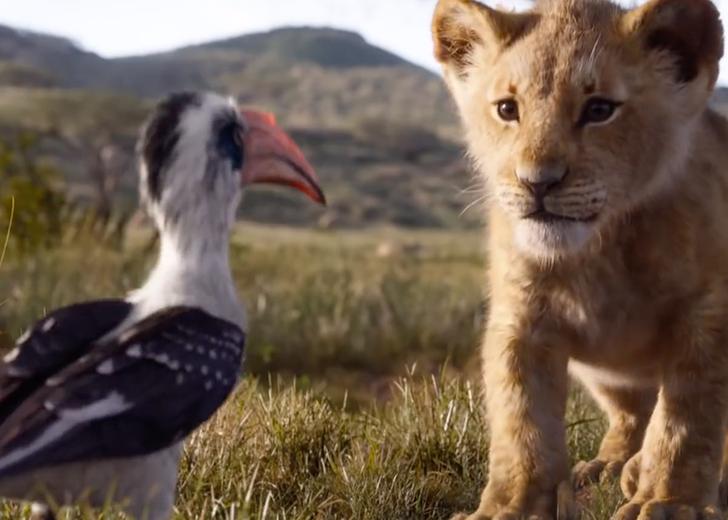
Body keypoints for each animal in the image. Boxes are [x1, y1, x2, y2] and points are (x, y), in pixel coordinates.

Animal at [431, 0, 728, 518]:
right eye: (507, 109)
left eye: (599, 109)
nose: (538, 182)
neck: (597, 250)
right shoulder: (521, 318)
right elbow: (521, 421)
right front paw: (511, 506)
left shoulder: (706, 313)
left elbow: (687, 418)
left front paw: (670, 502)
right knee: (630, 414)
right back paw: (613, 465)